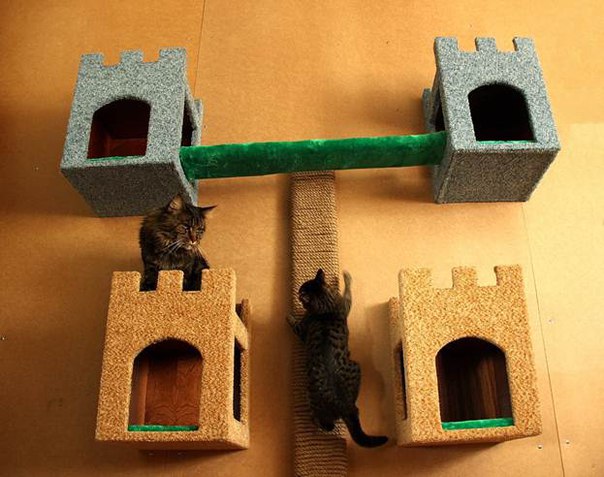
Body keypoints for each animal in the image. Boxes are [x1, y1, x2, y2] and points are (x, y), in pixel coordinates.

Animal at [287, 269, 388, 448]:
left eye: (302, 289)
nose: (298, 292)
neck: (326, 309)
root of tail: (344, 405)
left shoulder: (304, 330)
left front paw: (289, 316)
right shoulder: (344, 305)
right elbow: (348, 292)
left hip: (312, 395)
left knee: (323, 422)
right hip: (356, 369)